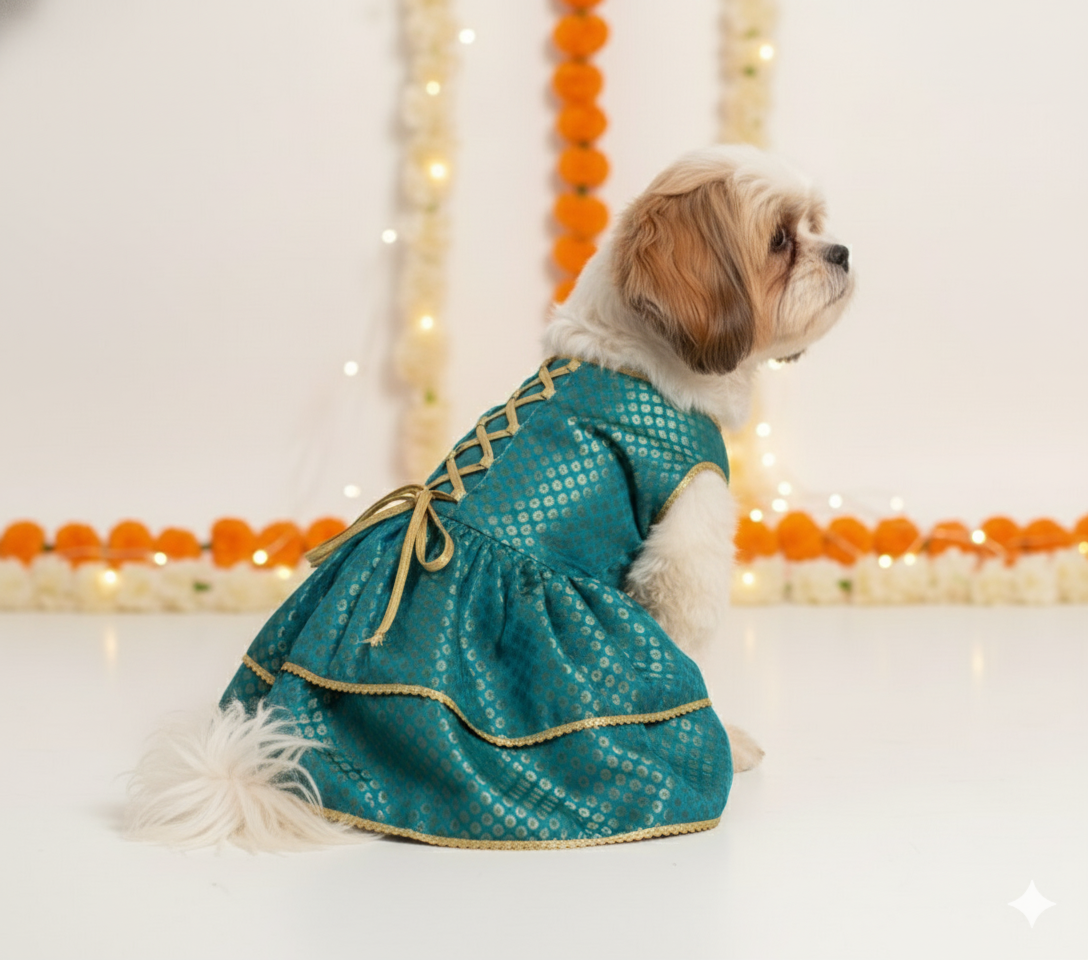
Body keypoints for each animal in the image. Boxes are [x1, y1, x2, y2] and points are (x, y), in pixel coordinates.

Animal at [125, 144, 853, 851]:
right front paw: (734, 741)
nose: (840, 251)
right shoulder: (682, 547)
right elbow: (688, 647)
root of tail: (273, 761)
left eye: (817, 225)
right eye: (781, 241)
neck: (643, 360)